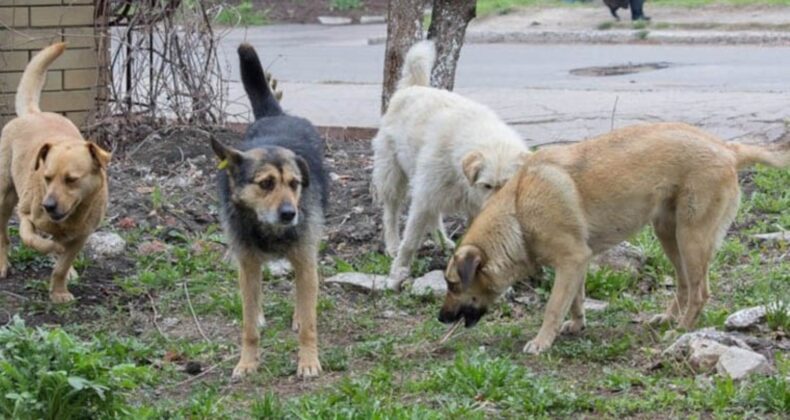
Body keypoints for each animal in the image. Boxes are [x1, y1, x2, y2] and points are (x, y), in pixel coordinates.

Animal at [0, 43, 112, 302]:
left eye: (71, 180)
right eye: (47, 177)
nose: (47, 206)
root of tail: (33, 113)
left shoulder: (81, 235)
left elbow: (62, 265)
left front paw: (59, 290)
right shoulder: (26, 216)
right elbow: (33, 240)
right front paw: (51, 248)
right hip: (4, 196)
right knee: (3, 235)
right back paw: (2, 264)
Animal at [210, 44, 328, 378]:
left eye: (294, 183)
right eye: (266, 183)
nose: (290, 214)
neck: (269, 229)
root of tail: (277, 115)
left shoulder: (305, 259)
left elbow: (310, 323)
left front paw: (308, 361)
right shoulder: (247, 263)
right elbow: (248, 325)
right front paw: (247, 362)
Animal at [372, 40, 532, 288]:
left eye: (507, 185)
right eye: (487, 186)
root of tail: (413, 87)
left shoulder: (472, 207)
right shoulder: (423, 198)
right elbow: (410, 241)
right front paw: (398, 271)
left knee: (434, 215)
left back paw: (443, 242)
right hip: (393, 174)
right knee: (391, 211)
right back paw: (391, 244)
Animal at [440, 124, 790, 354]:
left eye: (453, 285)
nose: (441, 318)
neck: (519, 211)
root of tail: (727, 148)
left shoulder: (571, 261)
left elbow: (554, 307)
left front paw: (541, 341)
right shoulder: (577, 264)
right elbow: (575, 300)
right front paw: (576, 326)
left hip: (691, 238)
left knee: (700, 291)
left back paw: (682, 329)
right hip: (670, 236)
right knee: (684, 285)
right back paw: (669, 318)